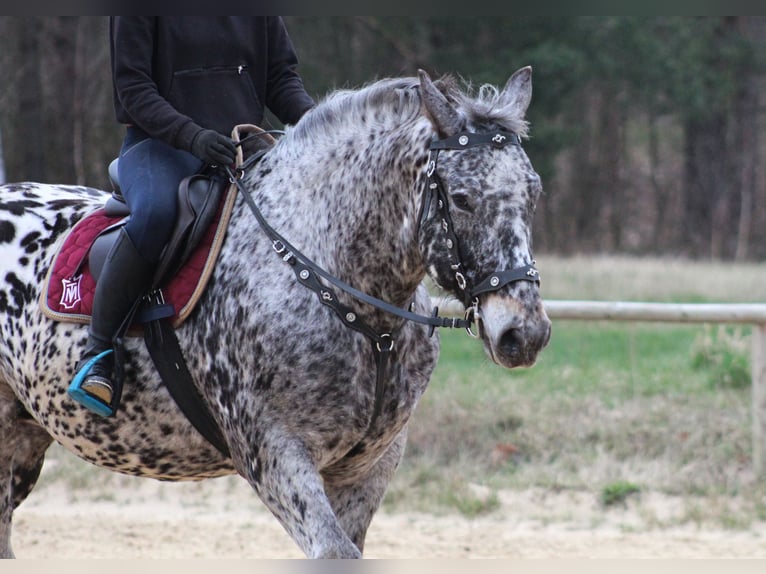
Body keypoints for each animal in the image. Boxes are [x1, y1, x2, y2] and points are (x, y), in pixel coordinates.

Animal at [0, 67, 552, 560]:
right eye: (461, 198)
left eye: (534, 192)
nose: (524, 333)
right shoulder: (274, 454)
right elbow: (334, 551)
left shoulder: (369, 466)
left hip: (22, 437)